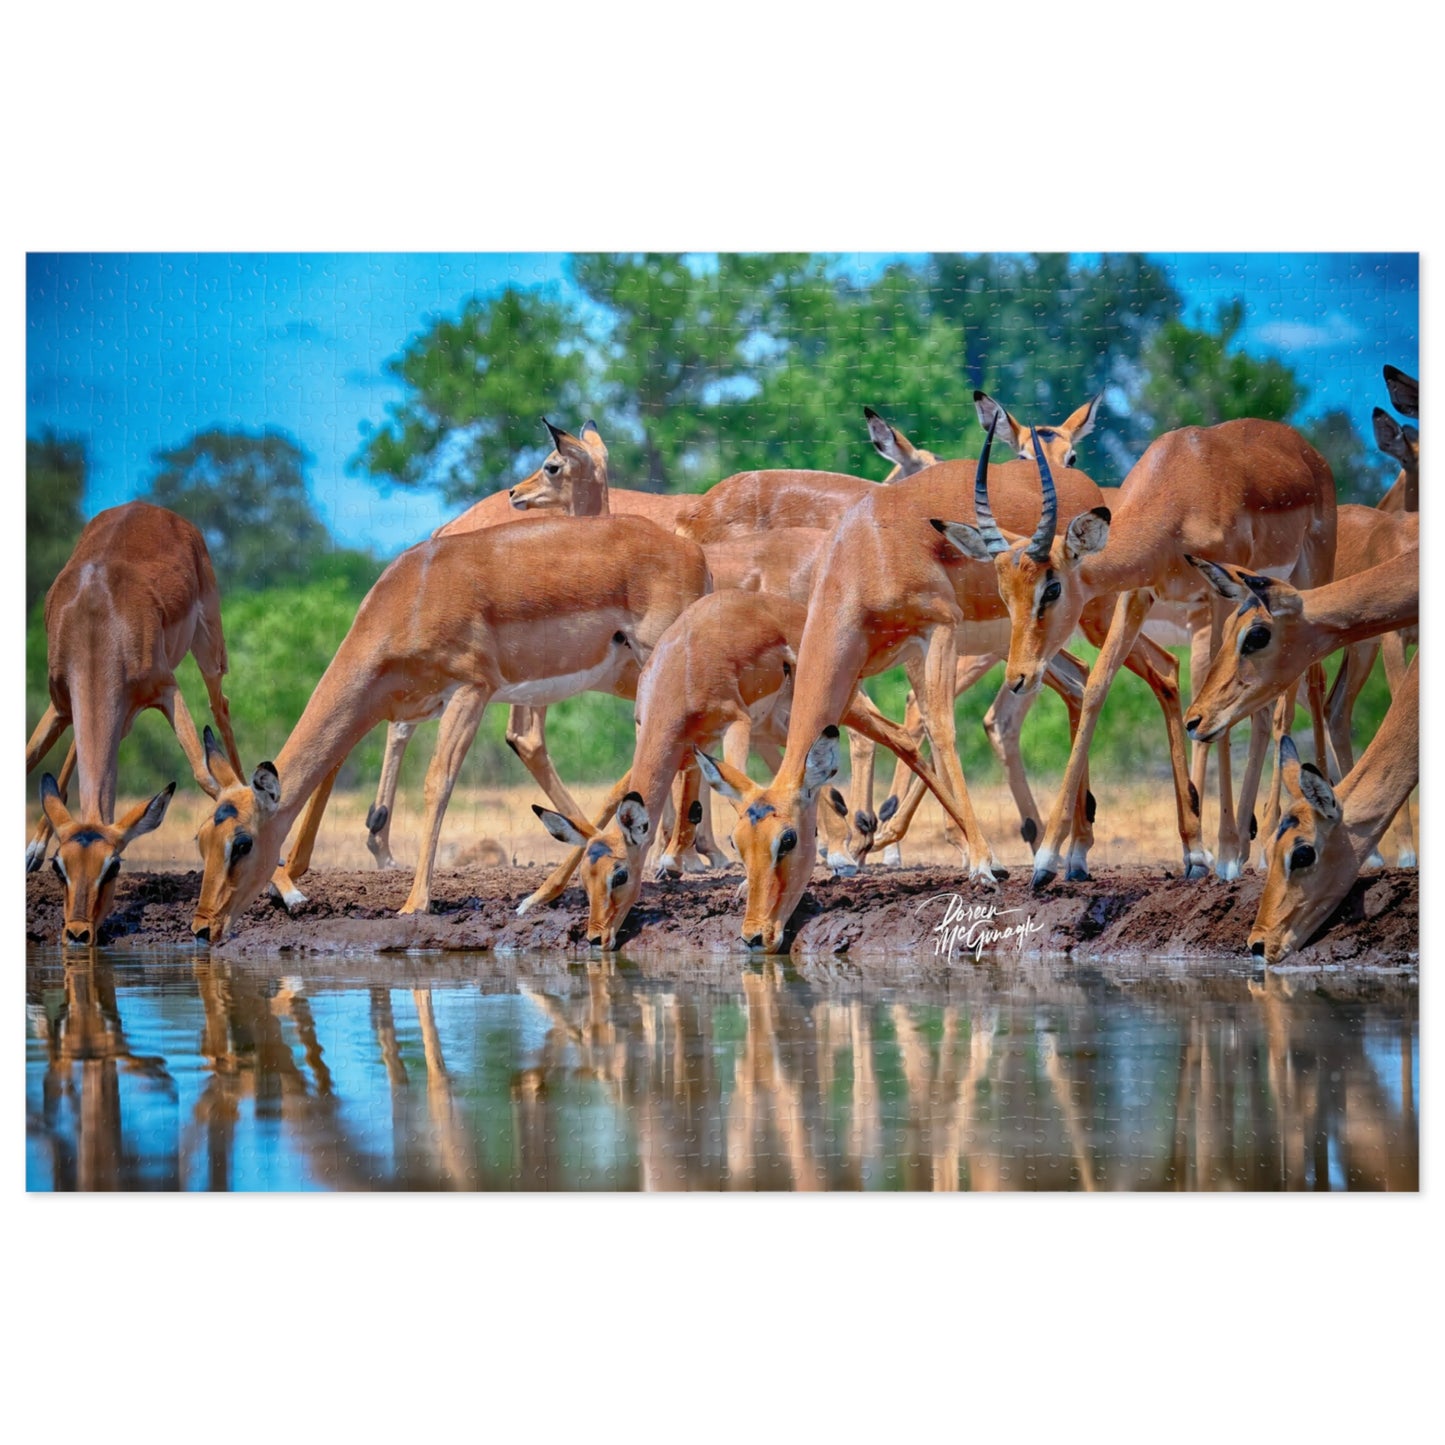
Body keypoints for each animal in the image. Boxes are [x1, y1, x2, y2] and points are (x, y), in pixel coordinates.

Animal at [24, 502, 249, 945]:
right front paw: (38, 851)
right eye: (61, 867)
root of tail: (150, 508)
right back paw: (32, 849)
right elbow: (29, 757)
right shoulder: (60, 704)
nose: (77, 932)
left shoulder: (166, 689)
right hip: (112, 717)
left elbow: (204, 775)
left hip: (209, 648)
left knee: (221, 708)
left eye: (113, 866)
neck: (97, 622)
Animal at [189, 513, 710, 940]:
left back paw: (658, 865)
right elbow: (330, 772)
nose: (202, 928)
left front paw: (414, 904)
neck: (411, 596)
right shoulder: (399, 709)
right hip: (628, 678)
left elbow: (437, 783)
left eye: (242, 843)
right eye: (201, 839)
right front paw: (290, 881)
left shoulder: (470, 691)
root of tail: (694, 555)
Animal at [519, 588, 983, 949]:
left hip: (833, 707)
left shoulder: (735, 724)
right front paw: (537, 897)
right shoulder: (683, 746)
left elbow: (735, 794)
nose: (597, 938)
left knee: (902, 739)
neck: (681, 667)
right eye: (587, 878)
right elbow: (617, 799)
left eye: (619, 875)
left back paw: (972, 858)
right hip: (779, 724)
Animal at [955, 418, 1337, 889]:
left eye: (1053, 588)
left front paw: (1222, 855)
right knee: (1267, 706)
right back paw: (1255, 846)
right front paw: (1049, 860)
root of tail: (1304, 449)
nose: (1019, 677)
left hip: (1307, 576)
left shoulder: (1219, 598)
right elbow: (1097, 687)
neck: (1181, 486)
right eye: (1004, 594)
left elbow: (1215, 708)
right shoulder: (1137, 593)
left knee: (1312, 682)